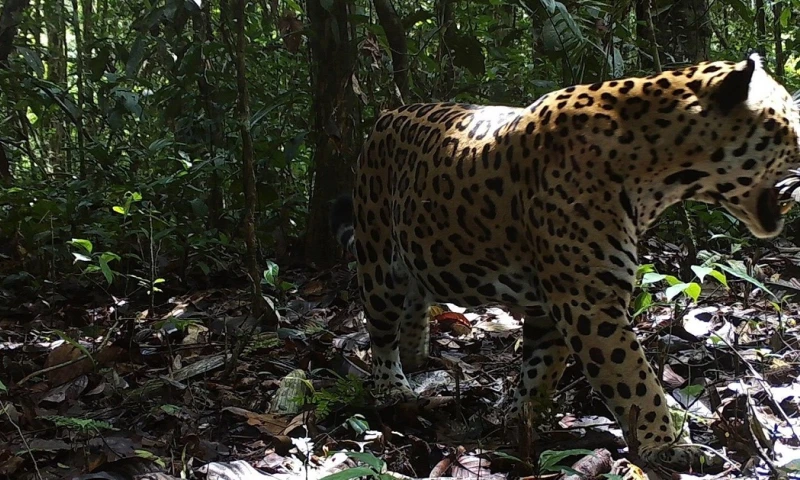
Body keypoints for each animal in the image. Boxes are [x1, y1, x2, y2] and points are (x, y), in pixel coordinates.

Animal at [329, 53, 800, 469]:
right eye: (791, 123)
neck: (660, 169)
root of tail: (387, 114)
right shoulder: (588, 304)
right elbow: (636, 381)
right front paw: (667, 447)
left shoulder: (553, 307)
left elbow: (540, 371)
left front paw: (518, 416)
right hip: (376, 255)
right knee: (380, 328)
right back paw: (394, 387)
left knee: (415, 298)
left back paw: (416, 354)